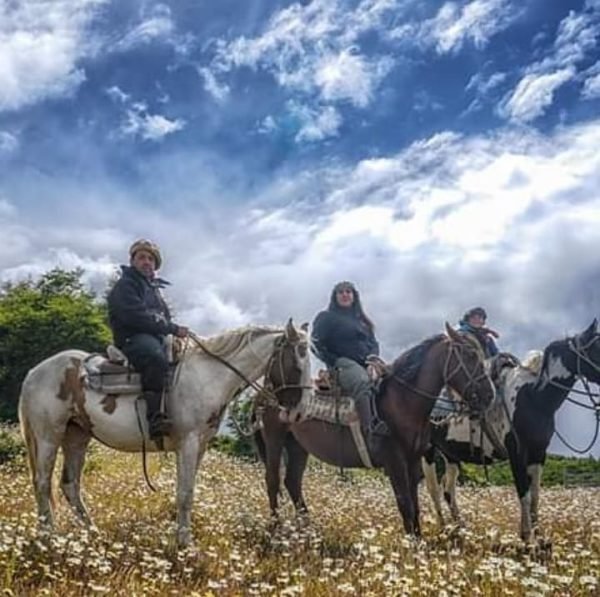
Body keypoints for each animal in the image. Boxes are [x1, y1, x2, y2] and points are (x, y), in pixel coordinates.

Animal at [18, 322, 310, 544]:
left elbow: (188, 490)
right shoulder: (188, 442)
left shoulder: (199, 445)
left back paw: (94, 534)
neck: (208, 377)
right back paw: (48, 538)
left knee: (70, 485)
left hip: (76, 437)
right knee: (42, 483)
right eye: (297, 363)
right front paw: (185, 544)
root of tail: (34, 373)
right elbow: (185, 494)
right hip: (48, 436)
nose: (299, 414)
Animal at [422, 322, 600, 540]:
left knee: (448, 491)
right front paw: (527, 537)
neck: (533, 397)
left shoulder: (538, 454)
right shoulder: (516, 453)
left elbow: (535, 496)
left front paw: (538, 535)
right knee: (433, 489)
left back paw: (460, 527)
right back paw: (443, 527)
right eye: (597, 347)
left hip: (451, 456)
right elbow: (524, 494)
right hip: (428, 451)